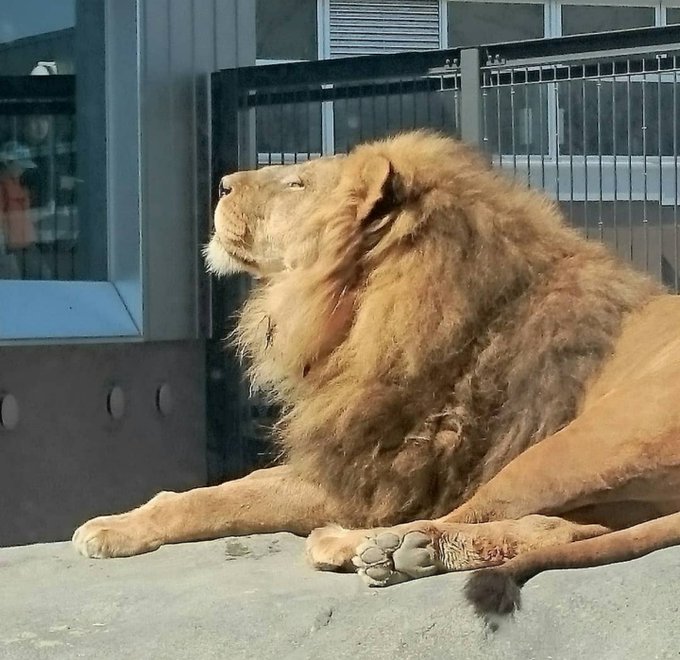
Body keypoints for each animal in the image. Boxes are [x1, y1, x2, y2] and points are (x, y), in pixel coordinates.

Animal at [71, 130, 680, 624]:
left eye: (296, 182)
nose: (219, 184)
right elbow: (217, 490)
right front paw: (125, 519)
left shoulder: (369, 477)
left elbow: (219, 501)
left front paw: (108, 529)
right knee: (562, 528)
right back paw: (406, 554)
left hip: (586, 442)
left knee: (488, 511)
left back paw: (368, 546)